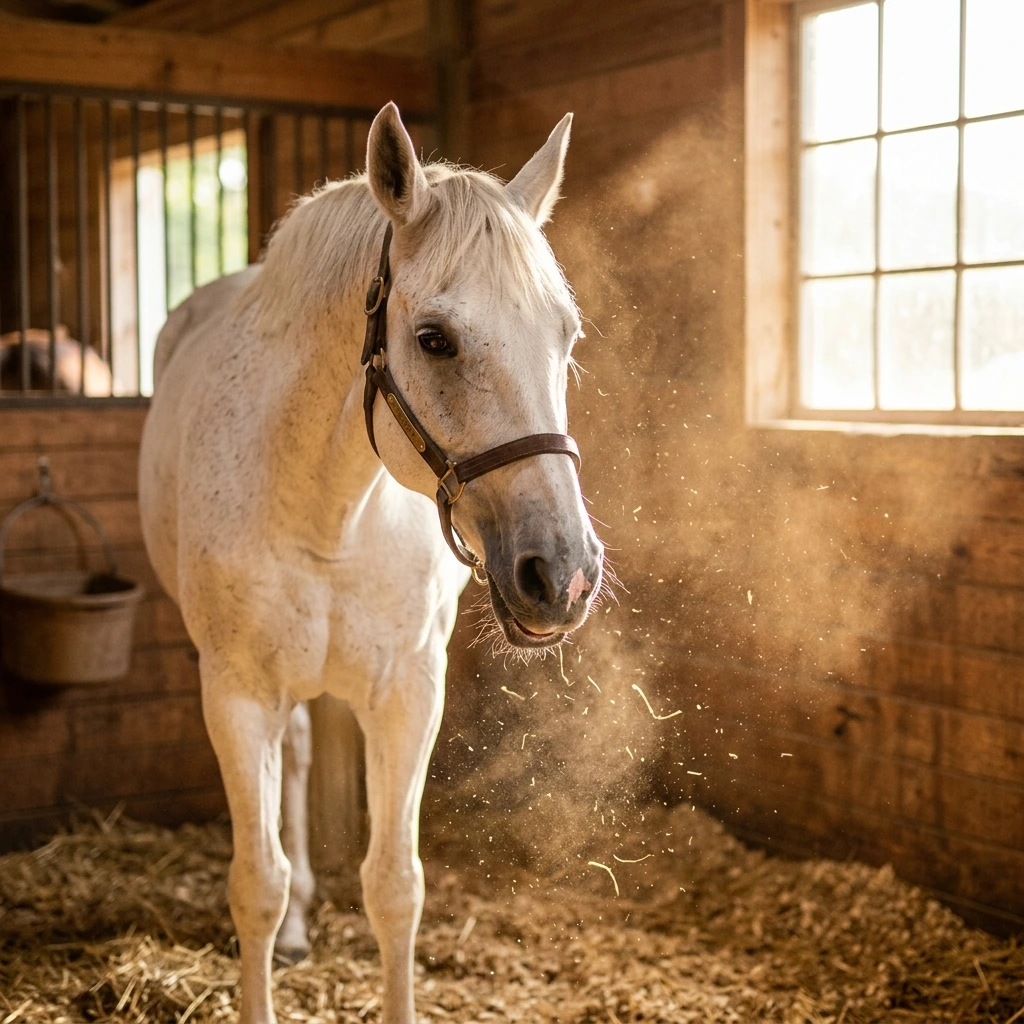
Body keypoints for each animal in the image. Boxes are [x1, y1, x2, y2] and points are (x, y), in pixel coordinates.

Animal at [138, 101, 604, 1024]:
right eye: (434, 339)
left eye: (564, 337)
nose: (562, 575)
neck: (329, 512)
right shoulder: (236, 694)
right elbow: (256, 884)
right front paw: (274, 933)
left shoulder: (408, 693)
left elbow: (395, 886)